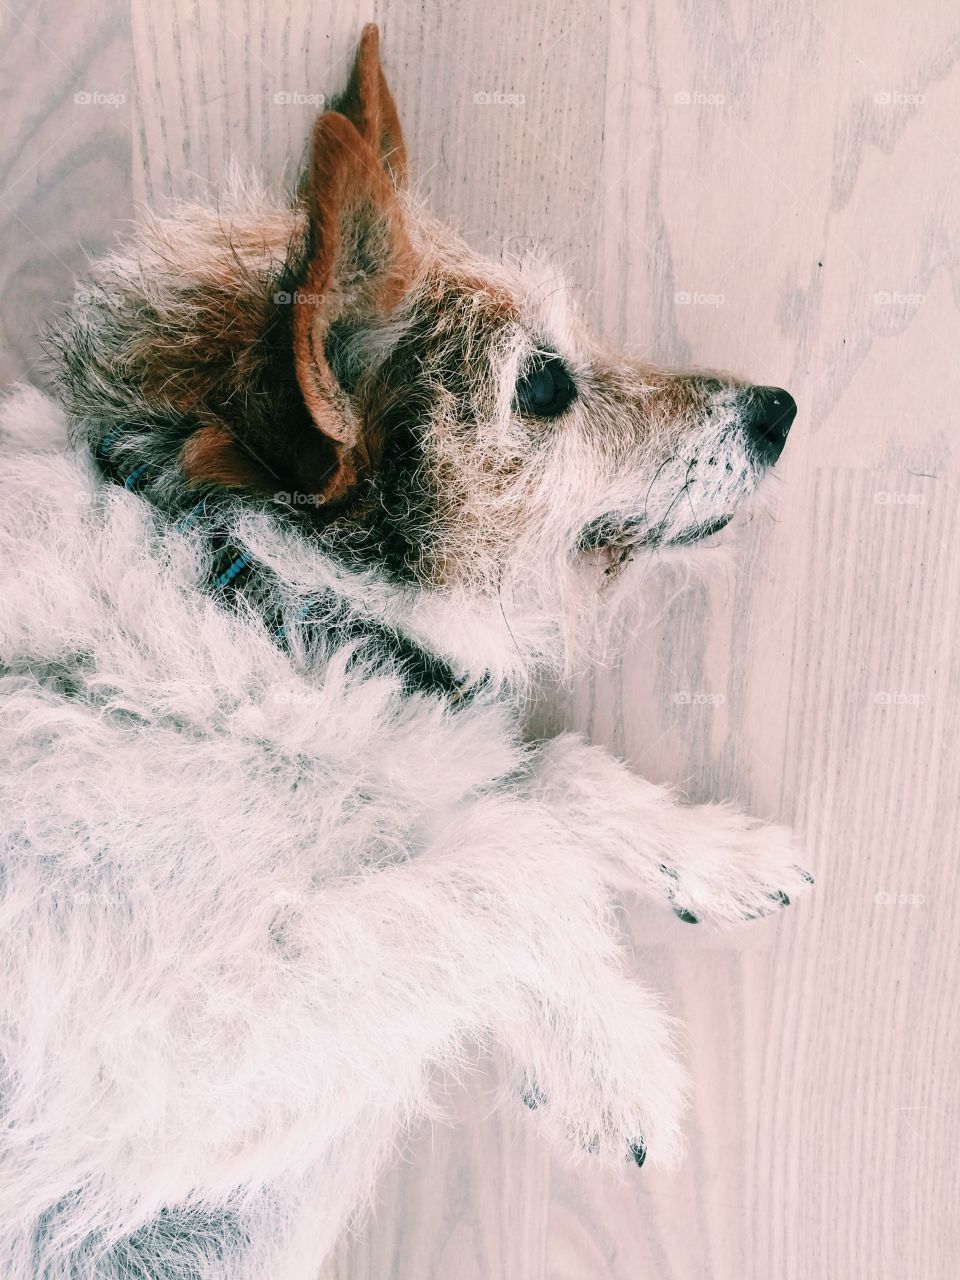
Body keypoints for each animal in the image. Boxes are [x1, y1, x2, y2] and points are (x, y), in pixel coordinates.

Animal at [0, 22, 814, 1280]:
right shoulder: (169, 1035)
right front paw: (612, 1056)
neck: (253, 600)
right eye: (543, 383)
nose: (777, 409)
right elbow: (505, 861)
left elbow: (540, 778)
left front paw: (712, 853)